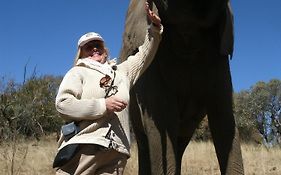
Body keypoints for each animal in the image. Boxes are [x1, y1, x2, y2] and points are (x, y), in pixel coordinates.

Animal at [119, 0, 244, 174]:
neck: (187, 31)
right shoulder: (151, 67)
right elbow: (163, 119)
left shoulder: (219, 54)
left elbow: (223, 118)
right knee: (146, 144)